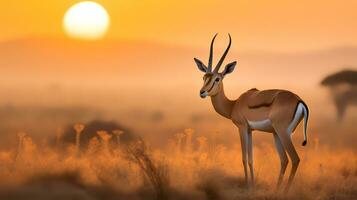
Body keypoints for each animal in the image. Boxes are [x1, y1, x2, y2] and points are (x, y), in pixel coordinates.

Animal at [193, 33, 308, 191]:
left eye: (217, 79)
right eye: (204, 77)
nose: (202, 92)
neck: (234, 104)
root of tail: (299, 100)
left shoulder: (241, 128)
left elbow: (243, 158)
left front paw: (248, 185)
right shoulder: (250, 130)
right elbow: (251, 159)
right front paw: (252, 185)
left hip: (283, 132)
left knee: (295, 159)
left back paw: (284, 191)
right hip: (276, 134)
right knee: (284, 160)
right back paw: (276, 190)